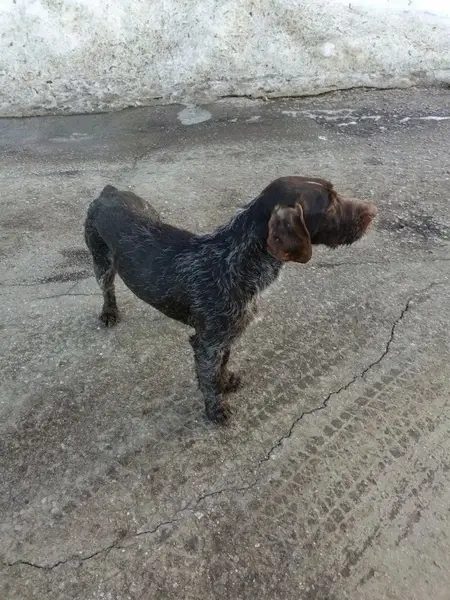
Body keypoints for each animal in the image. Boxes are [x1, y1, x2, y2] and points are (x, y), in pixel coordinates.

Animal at [84, 176, 377, 423]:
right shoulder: (207, 342)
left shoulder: (227, 334)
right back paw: (109, 312)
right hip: (101, 261)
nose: (374, 211)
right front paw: (216, 409)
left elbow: (222, 364)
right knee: (107, 289)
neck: (237, 258)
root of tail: (109, 193)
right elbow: (209, 377)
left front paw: (225, 382)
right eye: (329, 203)